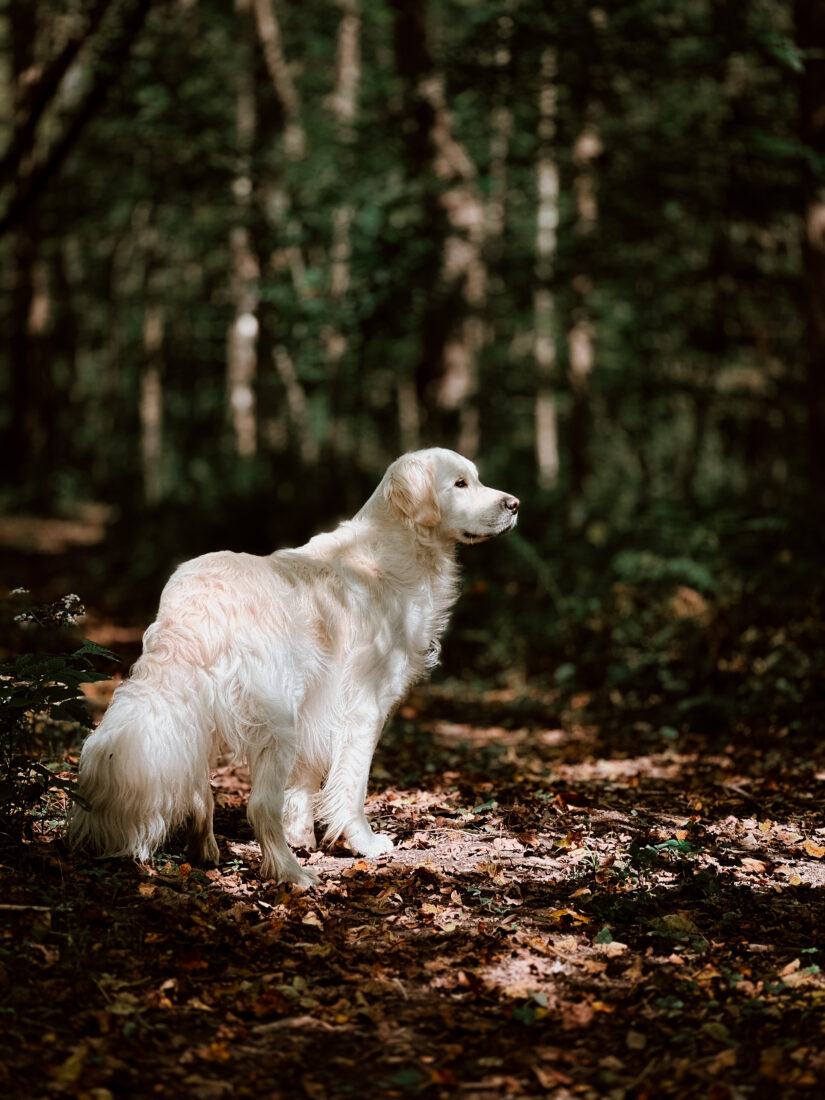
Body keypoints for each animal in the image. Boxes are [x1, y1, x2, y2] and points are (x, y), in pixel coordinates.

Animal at [72, 446, 523, 884]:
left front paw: (303, 835)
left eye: (477, 478)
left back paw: (208, 853)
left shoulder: (317, 704)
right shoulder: (363, 707)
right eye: (460, 484)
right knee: (257, 806)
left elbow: (305, 780)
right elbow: (351, 786)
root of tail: (195, 598)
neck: (396, 548)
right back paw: (292, 875)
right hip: (276, 717)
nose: (515, 504)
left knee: (201, 790)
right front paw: (362, 843)